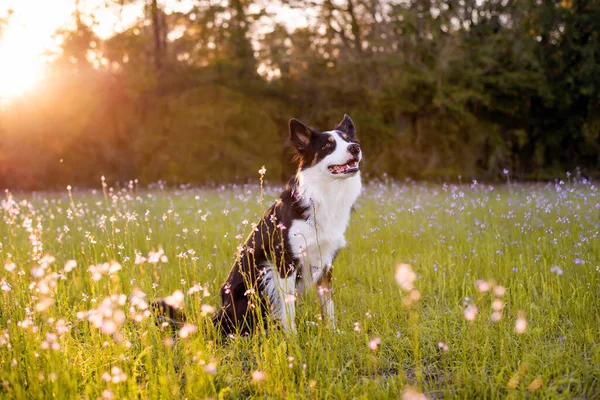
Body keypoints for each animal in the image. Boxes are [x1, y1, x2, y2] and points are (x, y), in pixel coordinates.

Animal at [155, 115, 360, 334]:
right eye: (328, 145)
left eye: (348, 140)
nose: (355, 148)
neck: (324, 194)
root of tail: (217, 317)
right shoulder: (284, 262)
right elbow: (288, 309)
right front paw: (293, 337)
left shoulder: (325, 262)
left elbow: (328, 305)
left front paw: (332, 332)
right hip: (256, 285)